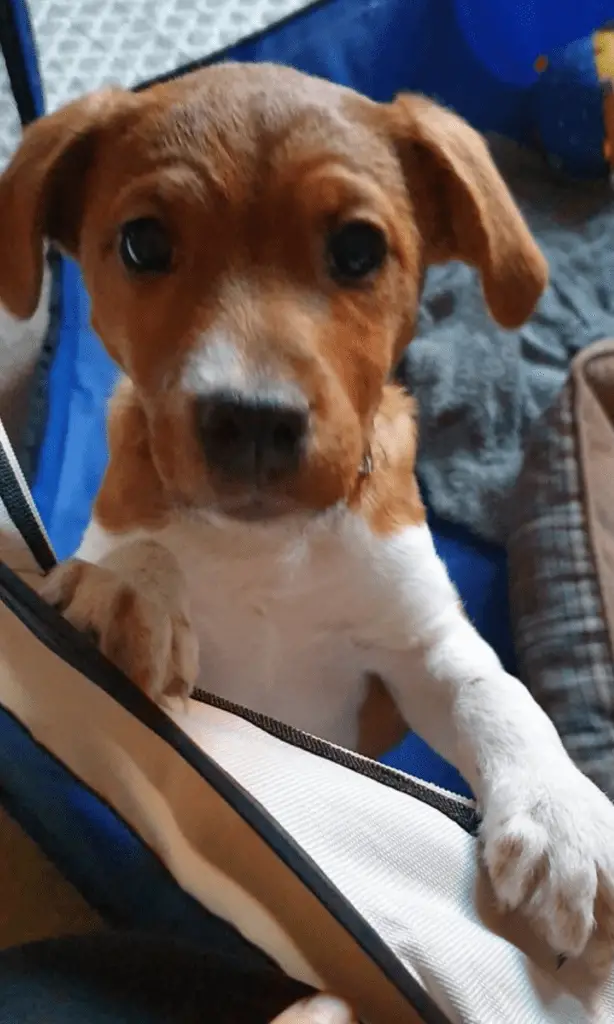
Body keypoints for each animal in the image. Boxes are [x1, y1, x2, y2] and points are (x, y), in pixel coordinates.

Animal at [1, 64, 614, 966]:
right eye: (144, 243)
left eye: (357, 250)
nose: (252, 419)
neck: (270, 544)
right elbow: (136, 551)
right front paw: (128, 594)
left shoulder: (417, 645)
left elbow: (495, 695)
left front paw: (563, 817)